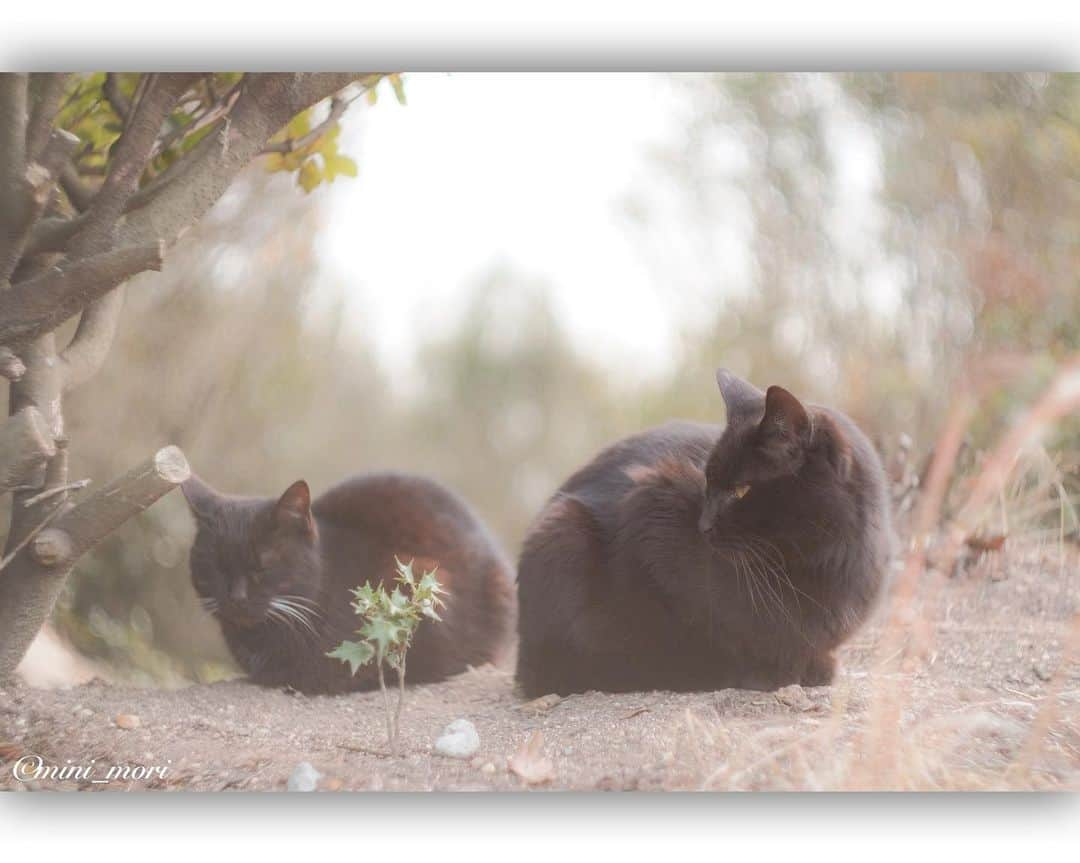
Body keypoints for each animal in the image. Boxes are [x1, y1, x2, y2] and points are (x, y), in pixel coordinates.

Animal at [514, 367, 894, 699]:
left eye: (741, 490)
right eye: (707, 482)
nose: (703, 525)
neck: (816, 566)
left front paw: (812, 665)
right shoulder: (647, 508)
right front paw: (756, 670)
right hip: (564, 532)